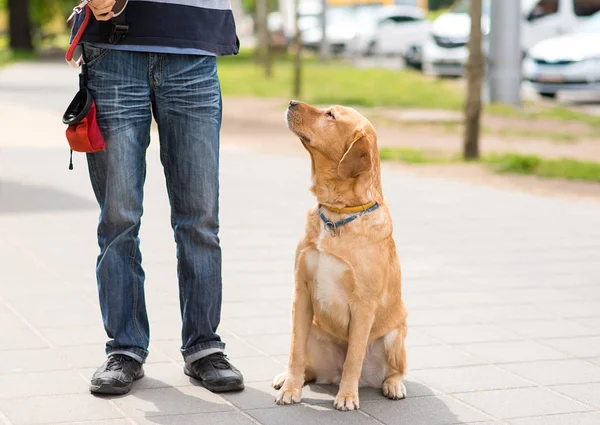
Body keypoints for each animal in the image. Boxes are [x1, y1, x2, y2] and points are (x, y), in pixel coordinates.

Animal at [272, 100, 408, 410]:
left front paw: (347, 396)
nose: (291, 102)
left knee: (395, 370)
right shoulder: (302, 293)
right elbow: (295, 352)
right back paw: (286, 377)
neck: (337, 214)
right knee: (307, 364)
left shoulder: (364, 304)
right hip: (312, 327)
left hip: (396, 335)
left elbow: (353, 358)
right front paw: (291, 388)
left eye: (330, 115)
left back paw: (393, 385)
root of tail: (329, 376)